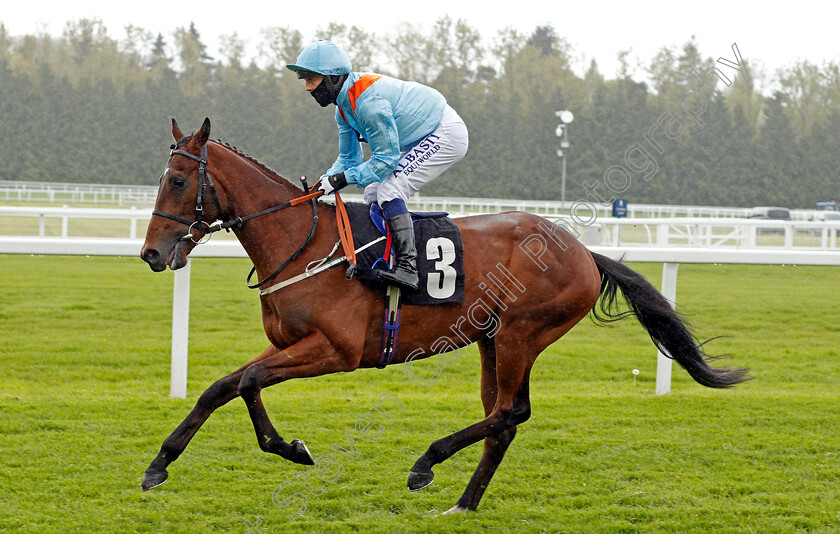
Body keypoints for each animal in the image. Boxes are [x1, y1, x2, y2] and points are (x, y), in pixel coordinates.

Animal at [138, 118, 748, 516]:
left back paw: (426, 464)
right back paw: (464, 503)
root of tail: (583, 251)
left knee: (512, 412)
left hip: (523, 332)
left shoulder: (337, 351)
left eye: (177, 181)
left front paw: (291, 449)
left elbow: (250, 382)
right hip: (492, 339)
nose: (151, 254)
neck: (302, 243)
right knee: (502, 417)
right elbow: (224, 385)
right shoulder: (289, 342)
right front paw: (160, 463)